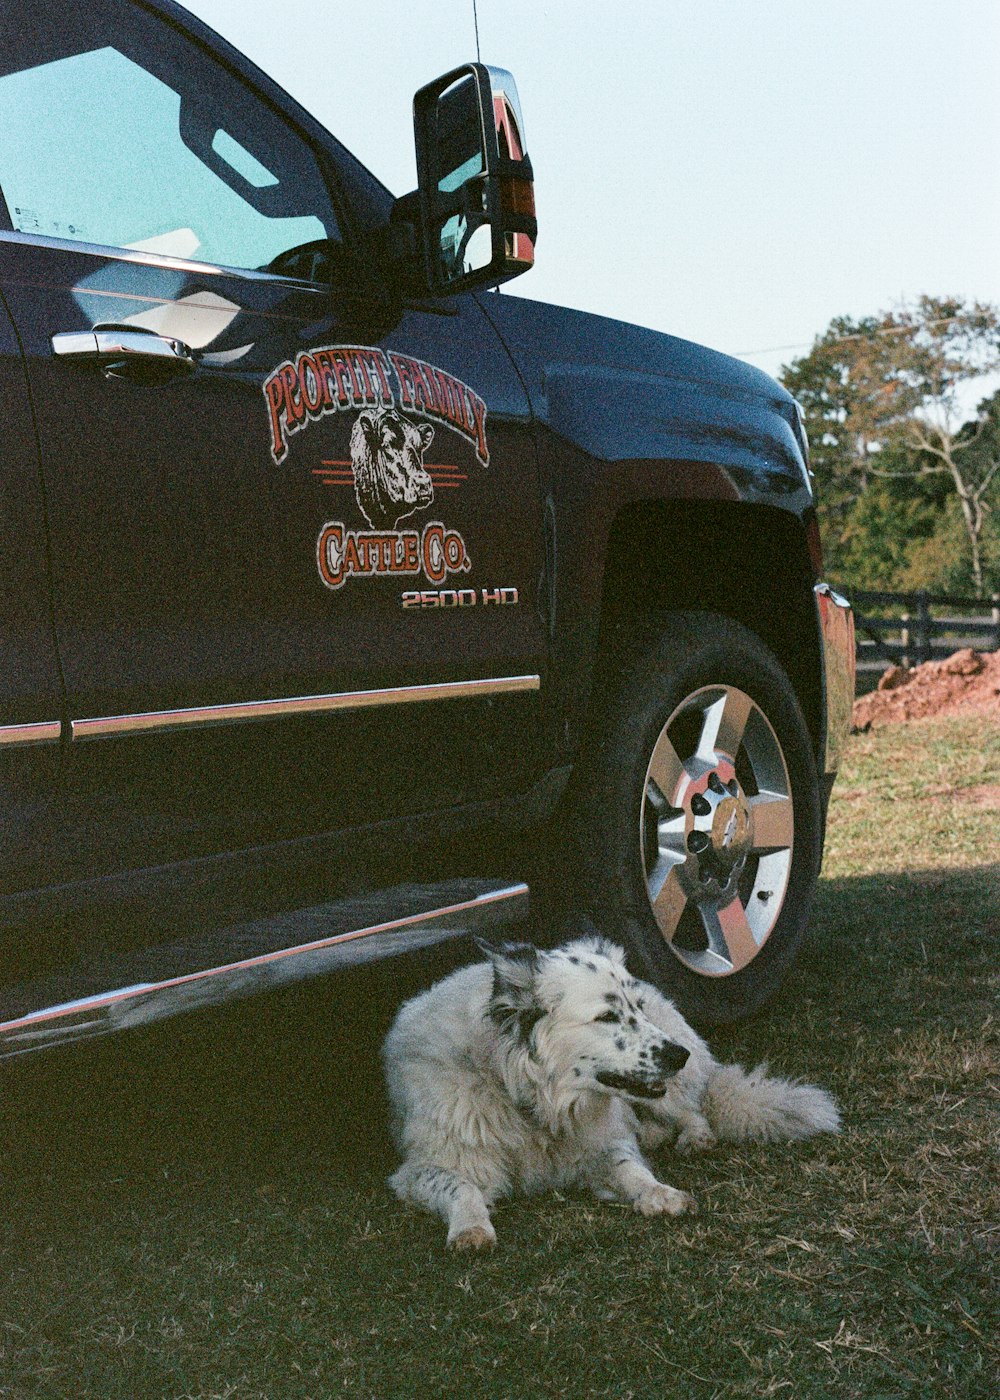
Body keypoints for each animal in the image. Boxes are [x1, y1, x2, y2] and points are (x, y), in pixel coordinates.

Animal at [383, 935, 840, 1254]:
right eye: (606, 1016)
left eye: (635, 1008)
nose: (679, 1054)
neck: (533, 1104)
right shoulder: (422, 1169)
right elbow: (462, 1188)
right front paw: (471, 1229)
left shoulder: (601, 1145)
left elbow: (630, 1168)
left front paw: (660, 1194)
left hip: (663, 1092)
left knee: (692, 1110)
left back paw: (694, 1137)